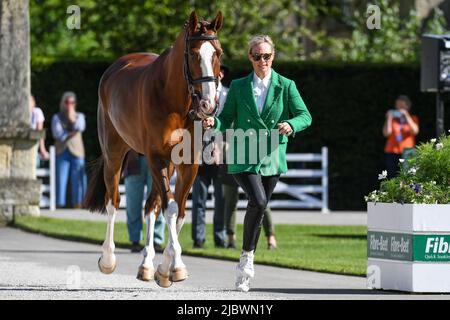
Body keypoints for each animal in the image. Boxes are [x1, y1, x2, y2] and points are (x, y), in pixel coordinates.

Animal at [83, 11, 223, 288]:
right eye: (193, 54)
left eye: (218, 53)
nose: (208, 104)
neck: (174, 99)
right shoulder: (156, 158)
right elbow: (170, 209)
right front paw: (177, 266)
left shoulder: (187, 163)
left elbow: (179, 211)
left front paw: (165, 268)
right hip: (114, 154)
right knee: (113, 201)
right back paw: (108, 259)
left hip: (167, 164)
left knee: (150, 207)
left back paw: (147, 265)